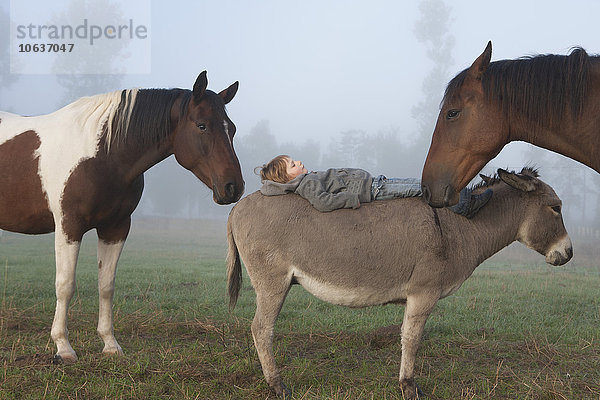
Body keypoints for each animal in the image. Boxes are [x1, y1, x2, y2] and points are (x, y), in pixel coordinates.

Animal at [0, 72, 244, 362]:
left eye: (232, 128)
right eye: (202, 126)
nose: (233, 187)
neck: (103, 155)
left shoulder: (115, 228)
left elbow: (106, 285)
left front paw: (110, 344)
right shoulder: (69, 227)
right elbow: (65, 285)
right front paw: (63, 347)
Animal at [226, 167, 572, 398]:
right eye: (556, 208)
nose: (568, 253)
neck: (459, 226)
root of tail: (237, 206)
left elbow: (407, 336)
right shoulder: (423, 294)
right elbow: (412, 339)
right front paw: (409, 387)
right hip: (273, 283)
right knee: (261, 329)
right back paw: (277, 385)